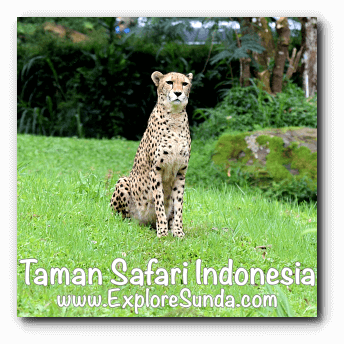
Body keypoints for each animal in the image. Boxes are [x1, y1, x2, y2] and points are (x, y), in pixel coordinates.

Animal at [111, 70, 194, 236]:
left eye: (184, 84)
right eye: (169, 82)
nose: (178, 93)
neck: (175, 117)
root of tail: (144, 222)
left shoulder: (181, 172)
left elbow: (178, 204)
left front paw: (178, 231)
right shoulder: (156, 170)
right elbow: (159, 202)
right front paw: (162, 231)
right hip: (123, 181)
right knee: (119, 215)